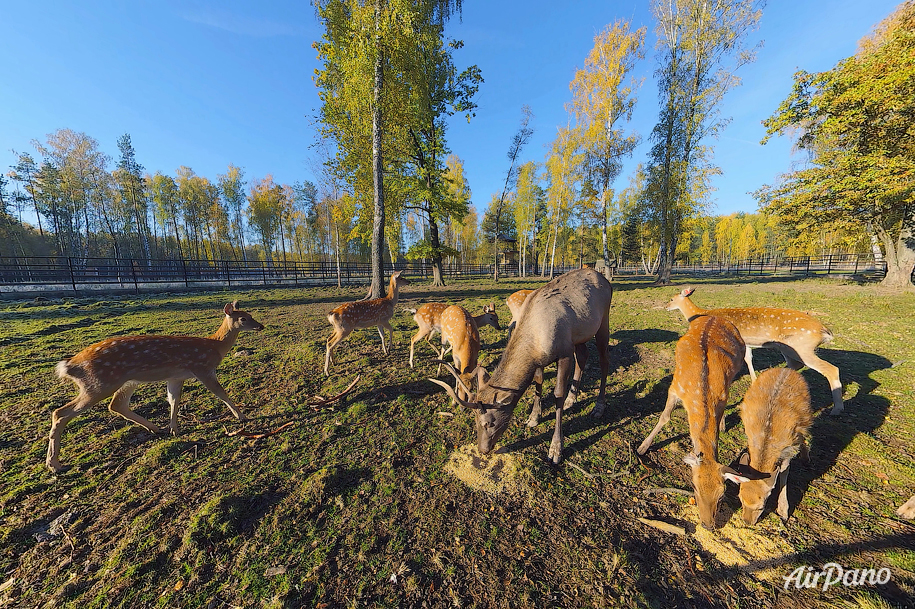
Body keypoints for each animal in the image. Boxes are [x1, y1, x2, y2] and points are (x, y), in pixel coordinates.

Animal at [47, 302, 264, 472]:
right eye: (244, 318)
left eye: (251, 314)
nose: (260, 326)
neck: (214, 347)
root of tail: (69, 366)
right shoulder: (202, 368)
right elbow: (221, 393)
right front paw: (242, 416)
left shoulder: (176, 376)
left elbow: (174, 400)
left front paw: (174, 429)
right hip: (99, 383)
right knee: (61, 412)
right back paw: (55, 464)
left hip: (126, 381)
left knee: (116, 405)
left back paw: (155, 428)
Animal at [432, 268, 616, 464]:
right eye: (474, 420)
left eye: (489, 422)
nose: (483, 449)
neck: (535, 341)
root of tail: (605, 279)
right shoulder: (541, 359)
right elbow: (538, 382)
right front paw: (534, 417)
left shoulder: (565, 351)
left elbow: (557, 394)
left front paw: (556, 448)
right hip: (580, 335)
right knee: (583, 357)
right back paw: (571, 400)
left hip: (603, 321)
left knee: (604, 360)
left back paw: (598, 407)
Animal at [636, 314, 752, 528]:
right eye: (694, 487)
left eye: (722, 493)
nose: (708, 525)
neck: (701, 391)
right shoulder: (675, 386)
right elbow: (665, 417)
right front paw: (642, 447)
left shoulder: (722, 396)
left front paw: (722, 426)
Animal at [664, 288, 844, 416]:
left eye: (671, 298)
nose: (666, 306)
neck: (699, 314)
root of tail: (825, 331)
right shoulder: (747, 343)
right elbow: (749, 359)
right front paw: (753, 380)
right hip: (790, 348)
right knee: (796, 365)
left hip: (801, 347)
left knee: (831, 369)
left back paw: (837, 409)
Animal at [736, 366, 816, 524]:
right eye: (740, 499)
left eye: (761, 506)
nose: (747, 522)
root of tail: (787, 369)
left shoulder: (788, 448)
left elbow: (784, 472)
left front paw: (784, 512)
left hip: (805, 419)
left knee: (804, 435)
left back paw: (806, 459)